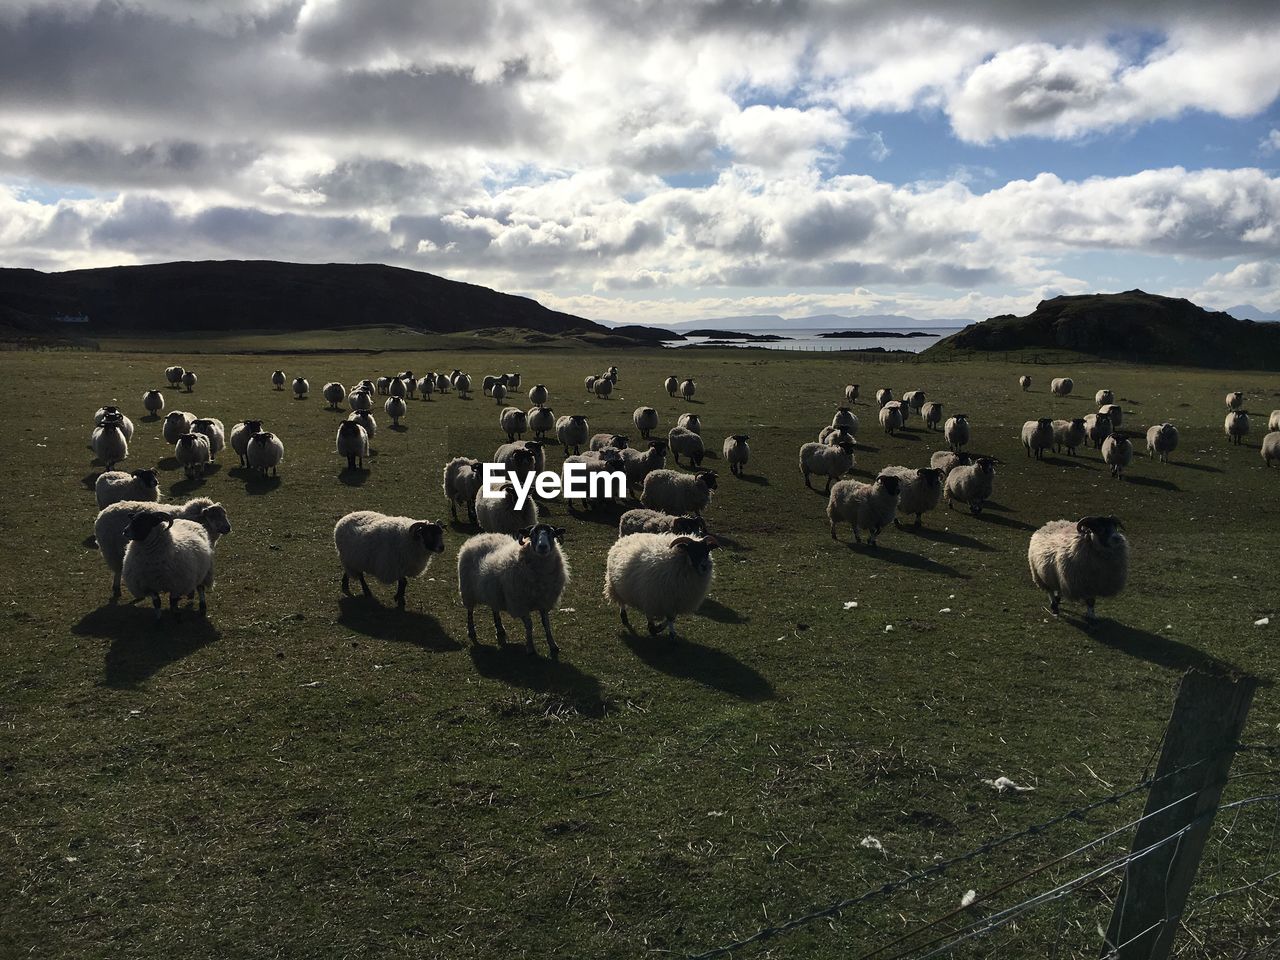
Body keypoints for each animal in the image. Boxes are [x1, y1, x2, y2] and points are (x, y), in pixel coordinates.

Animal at [94, 496, 232, 601]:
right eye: (213, 516)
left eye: (224, 514)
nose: (228, 528)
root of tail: (102, 512)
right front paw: (190, 594)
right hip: (112, 552)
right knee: (117, 571)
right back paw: (117, 589)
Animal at [455, 522, 565, 660]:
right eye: (532, 534)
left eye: (552, 533)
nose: (543, 547)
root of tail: (479, 536)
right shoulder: (520, 604)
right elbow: (529, 626)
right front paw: (530, 648)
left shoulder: (544, 601)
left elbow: (547, 625)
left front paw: (553, 645)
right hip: (467, 591)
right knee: (470, 612)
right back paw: (471, 630)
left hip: (493, 592)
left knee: (495, 609)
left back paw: (500, 629)